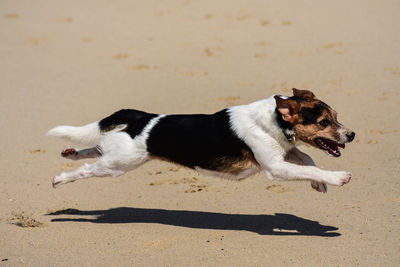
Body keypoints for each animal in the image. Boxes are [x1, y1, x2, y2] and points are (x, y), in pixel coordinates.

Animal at [47, 89, 356, 194]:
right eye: (324, 122)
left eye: (336, 117)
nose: (352, 135)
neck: (274, 120)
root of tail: (142, 118)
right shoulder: (276, 167)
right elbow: (310, 167)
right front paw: (336, 178)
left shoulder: (283, 152)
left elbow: (308, 161)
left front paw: (319, 183)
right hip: (118, 164)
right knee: (86, 170)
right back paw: (60, 178)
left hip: (122, 157)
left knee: (94, 149)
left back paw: (69, 152)